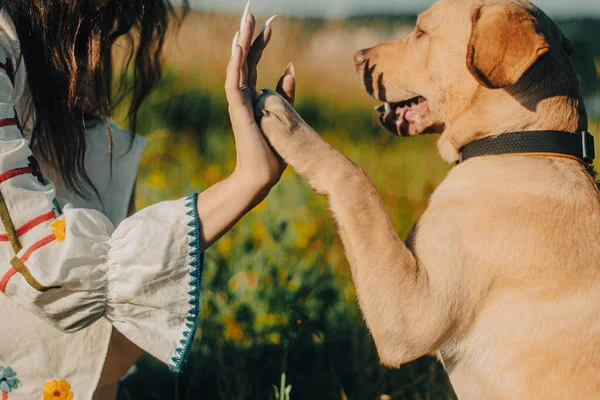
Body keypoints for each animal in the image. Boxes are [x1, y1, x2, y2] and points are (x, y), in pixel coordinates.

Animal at [254, 0, 600, 398]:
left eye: (420, 32)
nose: (357, 57)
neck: (521, 142)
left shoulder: (411, 314)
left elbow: (354, 178)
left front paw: (289, 124)